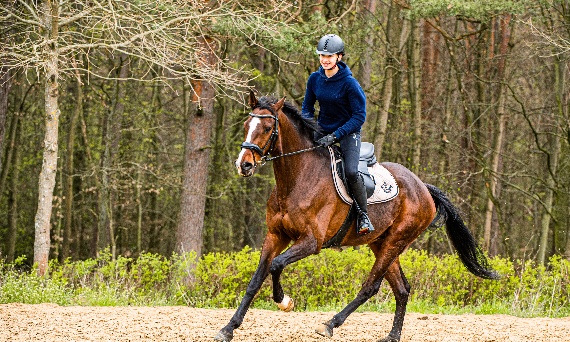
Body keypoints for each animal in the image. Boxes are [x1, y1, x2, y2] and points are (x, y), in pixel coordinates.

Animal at [214, 92, 496, 342]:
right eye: (246, 125)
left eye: (267, 127)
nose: (244, 165)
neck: (296, 180)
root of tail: (423, 187)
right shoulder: (275, 236)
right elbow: (256, 279)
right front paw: (228, 328)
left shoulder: (311, 242)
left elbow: (276, 265)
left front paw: (285, 302)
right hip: (381, 243)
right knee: (402, 289)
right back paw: (392, 336)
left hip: (396, 241)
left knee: (370, 286)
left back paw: (330, 324)